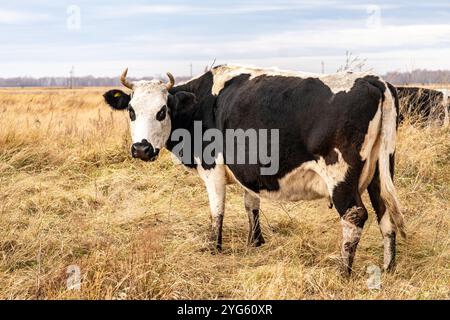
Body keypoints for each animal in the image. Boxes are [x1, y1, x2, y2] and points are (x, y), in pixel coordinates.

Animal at [103, 64, 406, 276]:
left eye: (162, 111)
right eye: (131, 111)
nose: (141, 149)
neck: (202, 104)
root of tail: (374, 80)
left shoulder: (212, 167)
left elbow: (217, 211)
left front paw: (214, 248)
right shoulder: (249, 170)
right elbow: (251, 204)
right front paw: (255, 242)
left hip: (341, 176)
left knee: (355, 215)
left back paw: (343, 271)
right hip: (380, 171)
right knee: (385, 211)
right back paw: (389, 267)